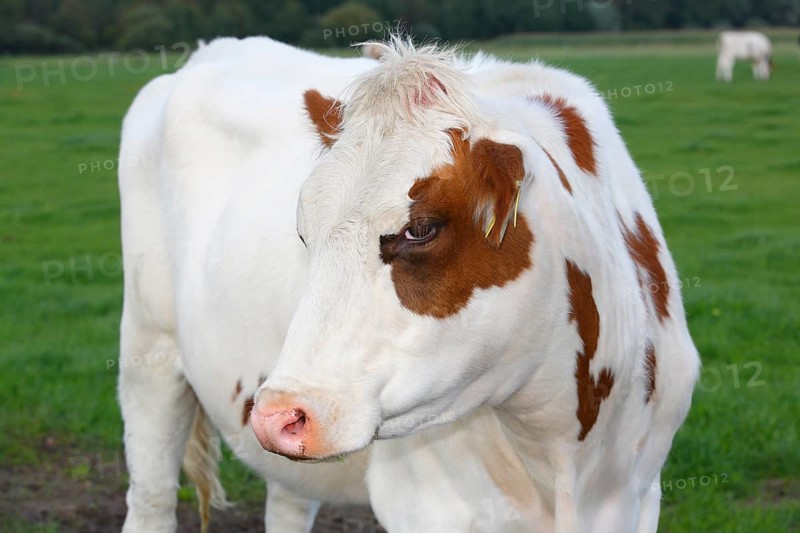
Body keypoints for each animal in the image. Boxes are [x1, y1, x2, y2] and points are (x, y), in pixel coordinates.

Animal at [118, 35, 700, 533]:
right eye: (304, 231)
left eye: (421, 229)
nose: (279, 415)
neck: (561, 447)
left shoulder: (638, 494)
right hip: (148, 352)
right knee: (150, 498)